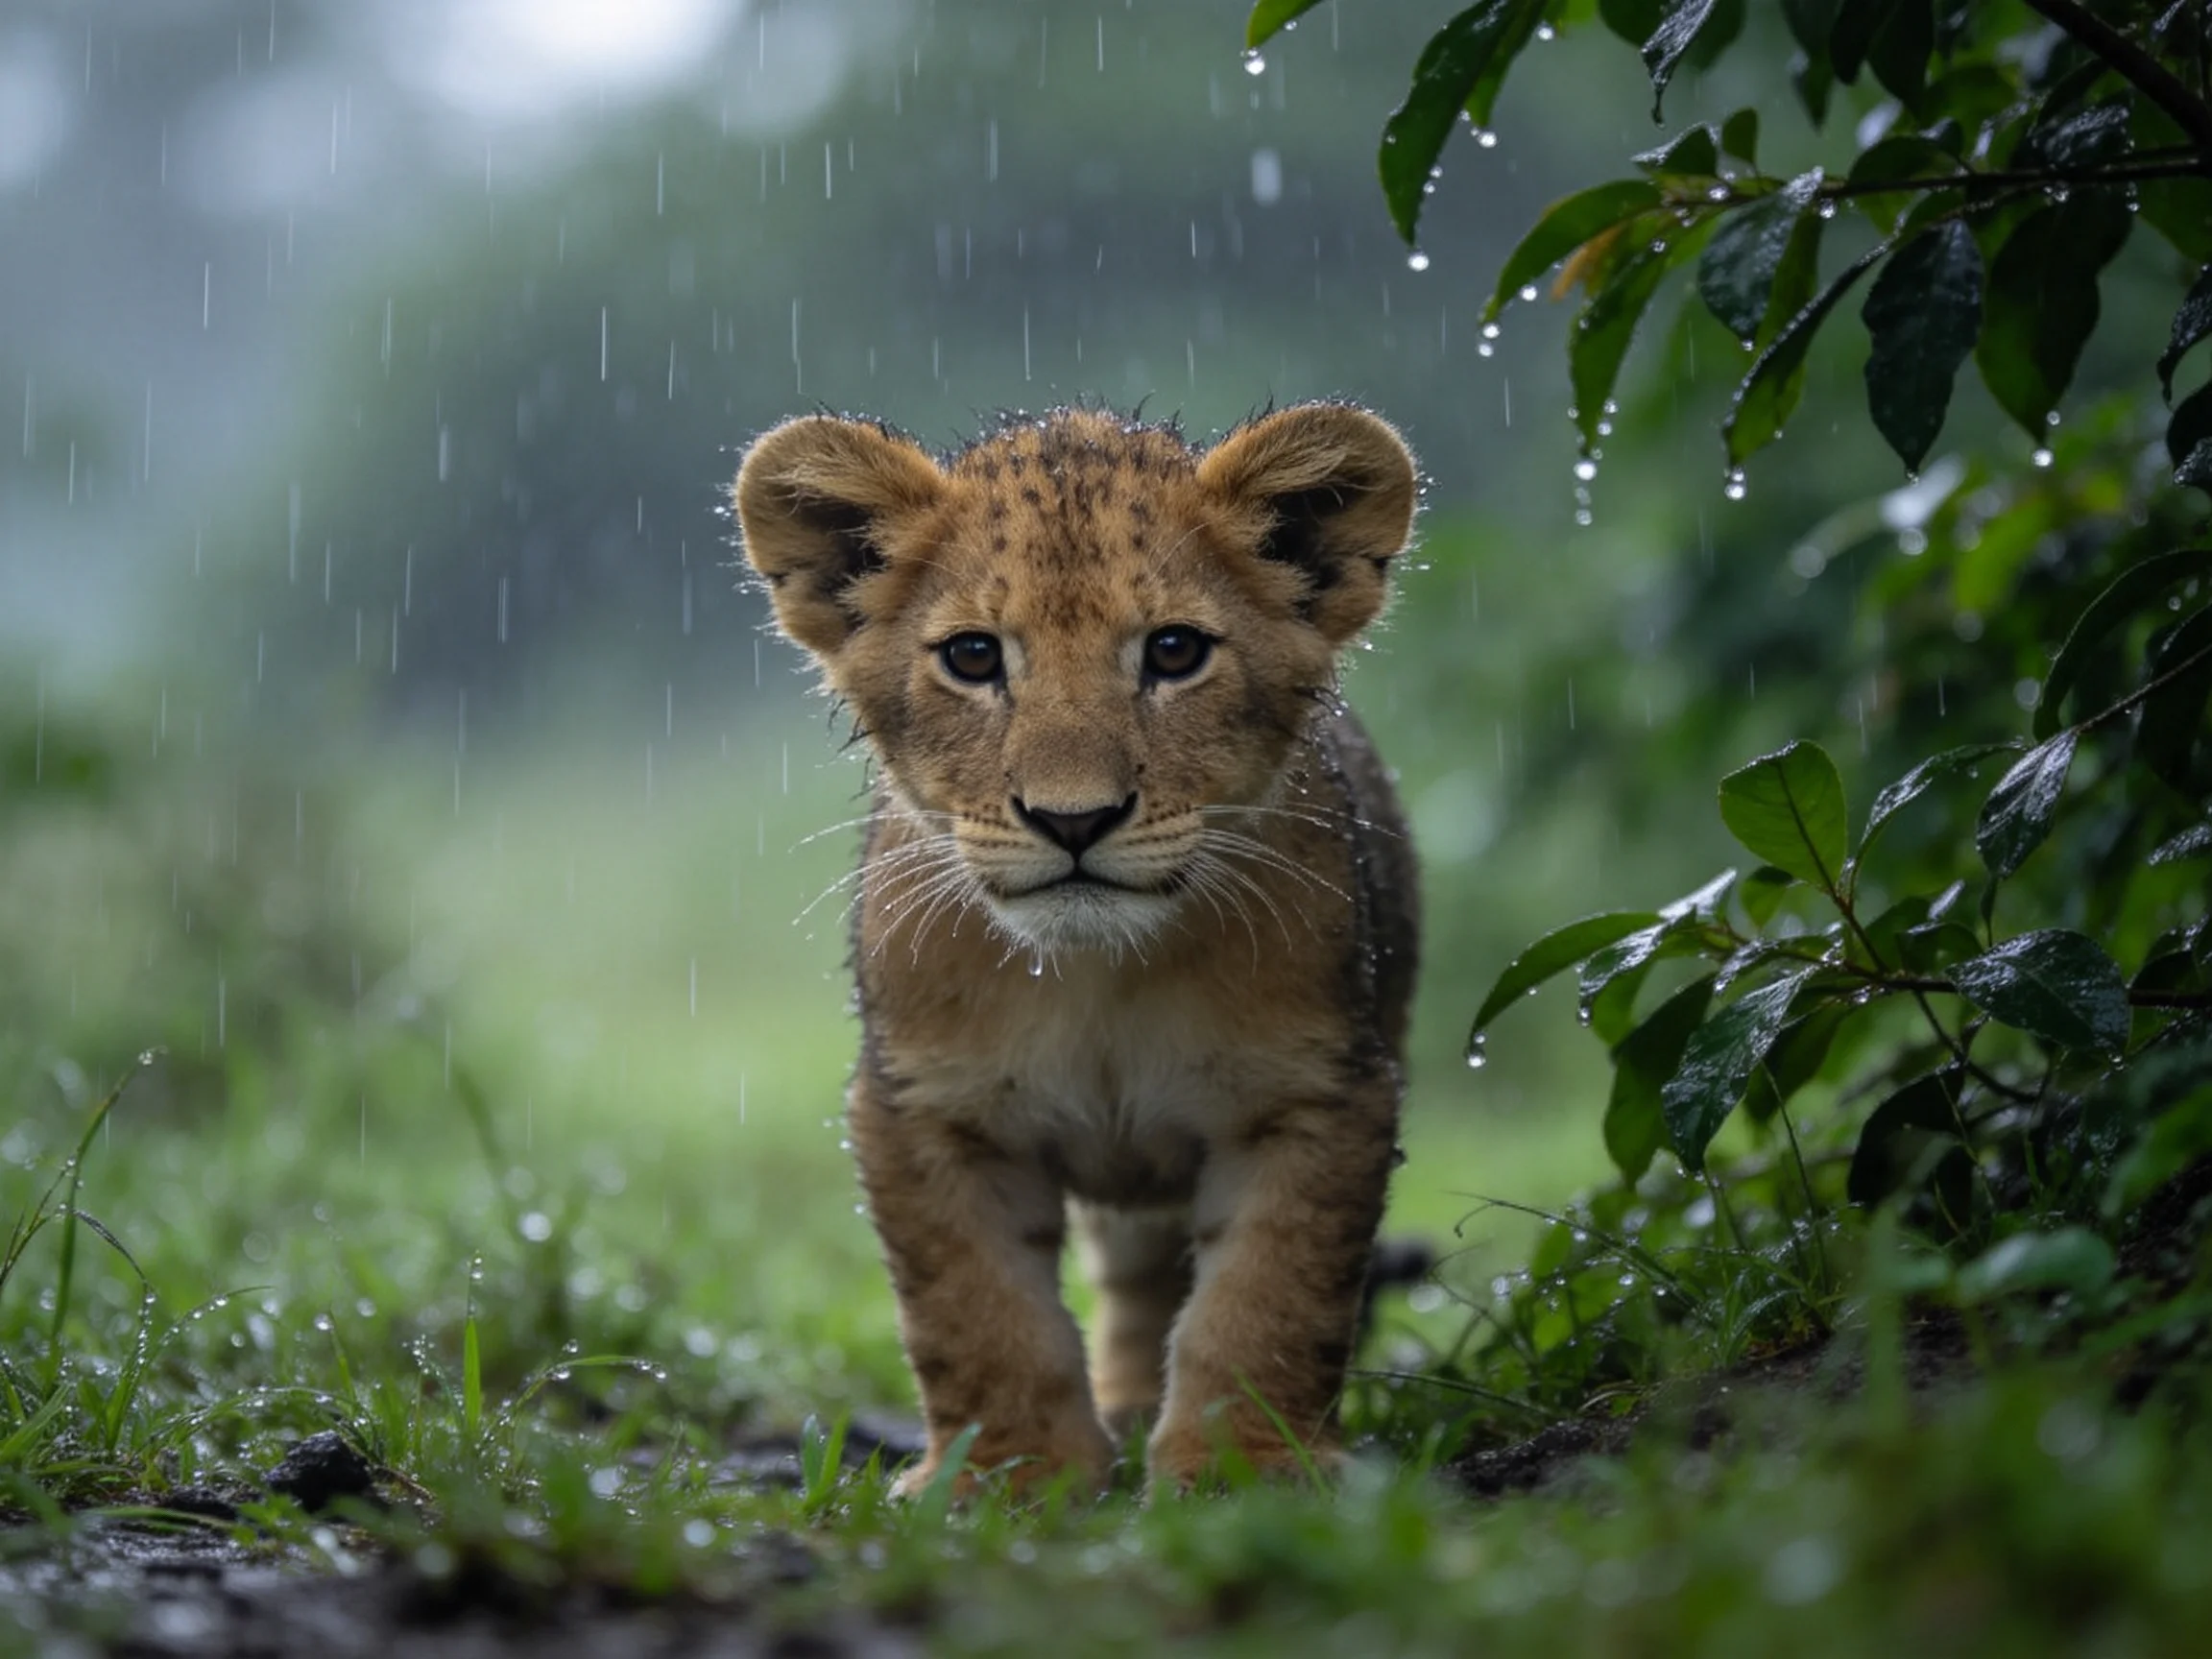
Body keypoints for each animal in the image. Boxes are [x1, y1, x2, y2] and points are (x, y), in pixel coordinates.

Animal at [734, 402, 1419, 1494]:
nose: (1073, 819)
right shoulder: (927, 1108)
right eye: (973, 658)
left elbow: (1269, 1297)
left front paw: (1243, 1469)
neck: (1102, 978)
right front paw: (1007, 1477)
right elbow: (977, 1312)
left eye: (1174, 651)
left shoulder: (1317, 1094)